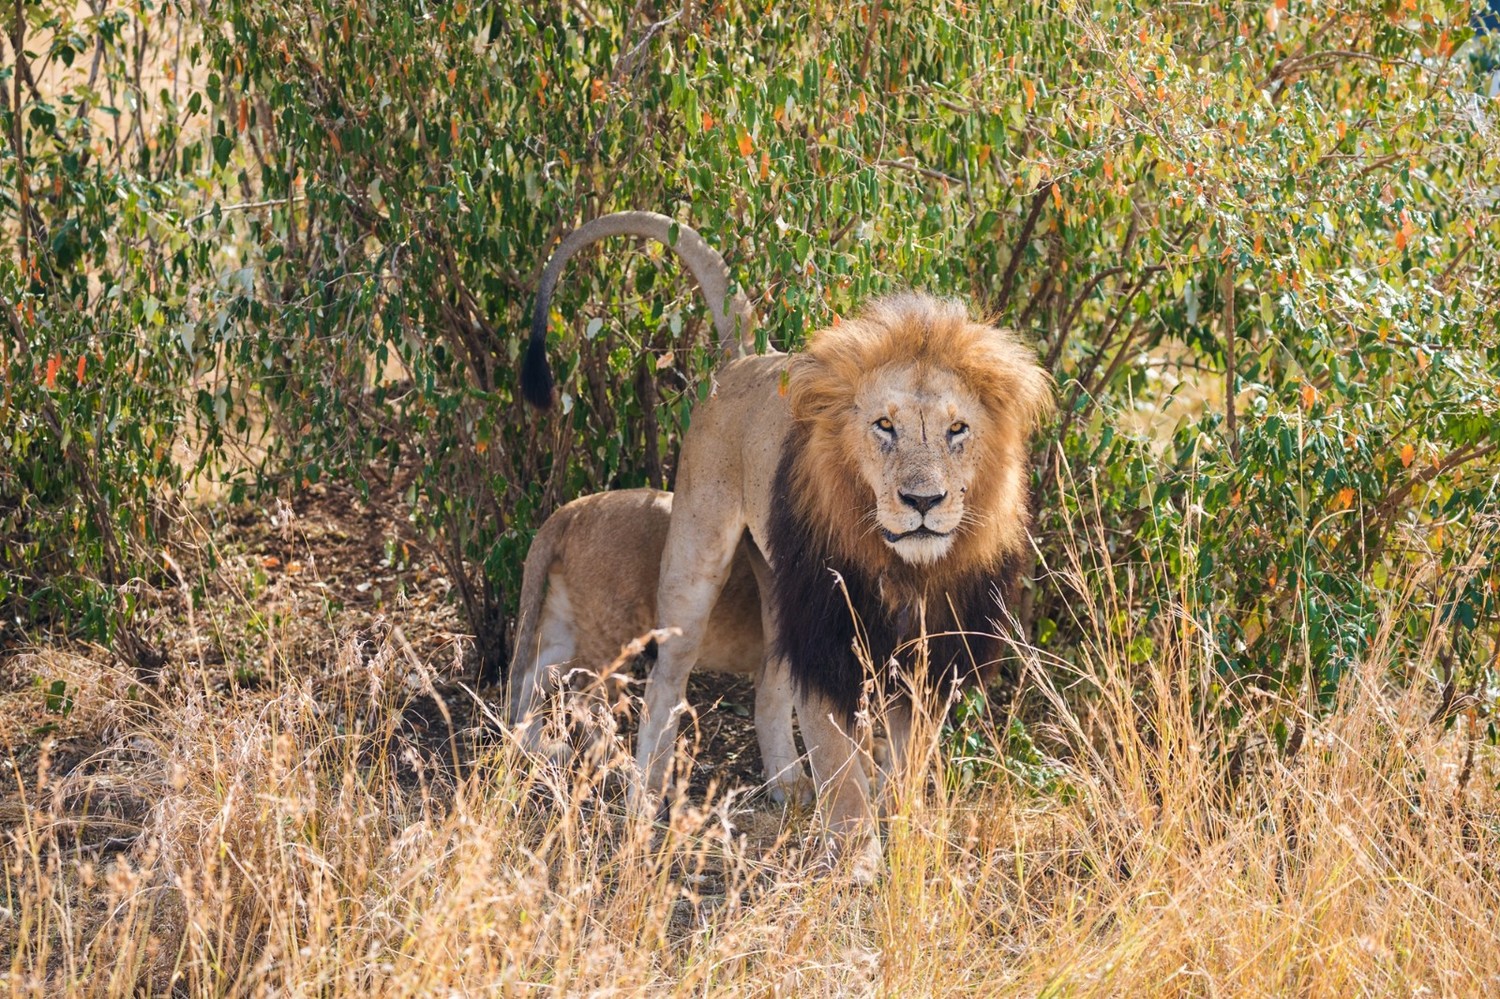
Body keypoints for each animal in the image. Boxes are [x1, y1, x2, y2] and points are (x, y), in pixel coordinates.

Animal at [507, 483, 810, 792]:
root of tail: (572, 508)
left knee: (534, 674)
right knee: (584, 700)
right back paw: (621, 767)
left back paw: (539, 747)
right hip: (615, 632)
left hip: (567, 622)